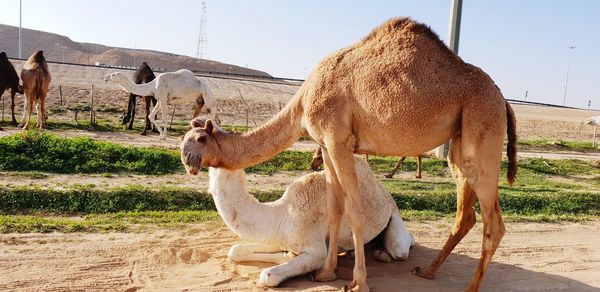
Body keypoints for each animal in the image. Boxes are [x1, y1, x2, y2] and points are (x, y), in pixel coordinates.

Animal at [190, 128, 414, 288]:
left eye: (206, 140)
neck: (280, 212)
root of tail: (385, 192)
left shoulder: (315, 247)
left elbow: (268, 276)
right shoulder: (280, 235)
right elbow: (234, 250)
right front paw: (287, 255)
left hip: (394, 217)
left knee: (402, 248)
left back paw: (384, 253)